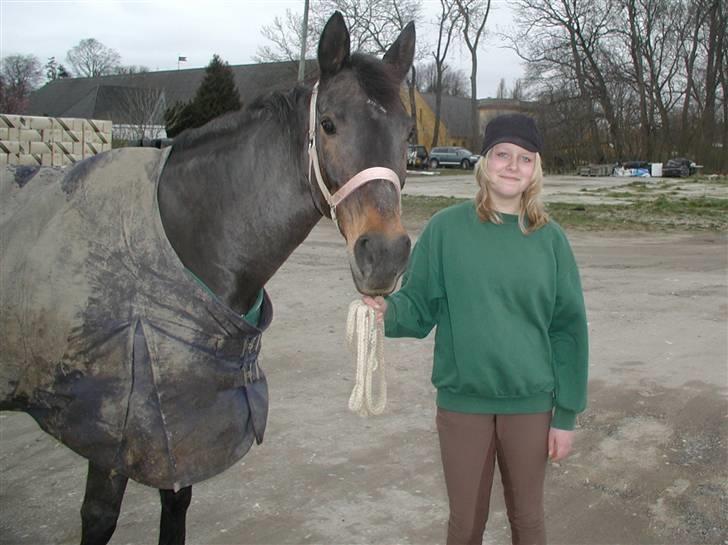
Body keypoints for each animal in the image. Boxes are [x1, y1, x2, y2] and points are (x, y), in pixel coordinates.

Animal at [0, 12, 412, 544]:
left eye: (407, 131)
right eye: (328, 124)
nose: (384, 255)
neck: (184, 236)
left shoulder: (180, 420)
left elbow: (177, 501)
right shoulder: (110, 427)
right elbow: (99, 516)